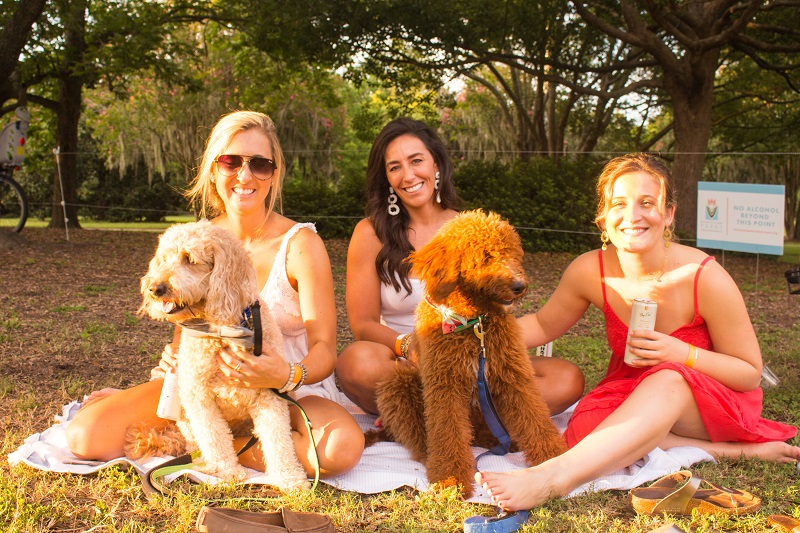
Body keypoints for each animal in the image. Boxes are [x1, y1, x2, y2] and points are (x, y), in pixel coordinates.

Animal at [131, 219, 306, 490]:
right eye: (163, 259)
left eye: (189, 259)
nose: (155, 288)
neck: (223, 330)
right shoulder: (198, 397)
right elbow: (214, 437)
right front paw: (228, 471)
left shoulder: (269, 394)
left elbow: (279, 440)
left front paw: (290, 478)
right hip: (184, 417)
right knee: (197, 444)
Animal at [372, 210, 564, 496]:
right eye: (484, 256)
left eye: (511, 253)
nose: (520, 286)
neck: (474, 324)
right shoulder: (445, 385)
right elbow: (447, 431)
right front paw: (450, 477)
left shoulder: (513, 374)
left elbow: (533, 415)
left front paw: (554, 457)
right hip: (399, 383)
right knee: (422, 439)